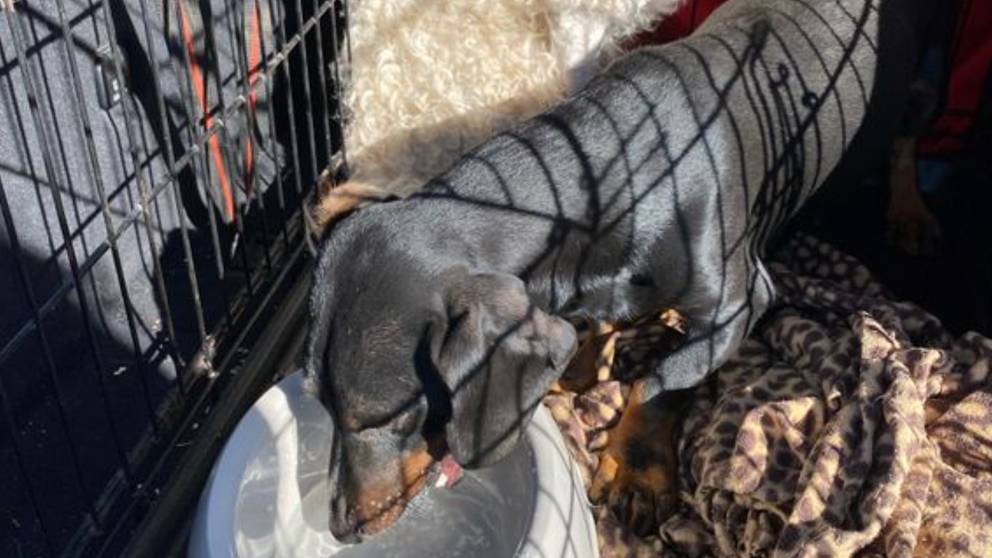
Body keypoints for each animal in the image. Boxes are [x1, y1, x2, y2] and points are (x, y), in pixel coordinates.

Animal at [306, 0, 925, 543]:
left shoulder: (738, 305)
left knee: (907, 140)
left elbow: (662, 378)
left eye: (381, 419)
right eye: (321, 404)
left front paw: (637, 472)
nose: (339, 527)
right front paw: (583, 359)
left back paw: (909, 212)